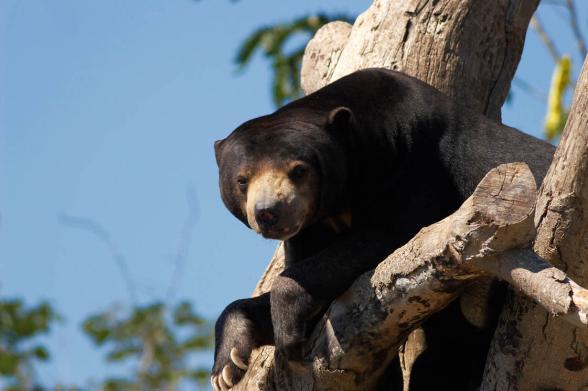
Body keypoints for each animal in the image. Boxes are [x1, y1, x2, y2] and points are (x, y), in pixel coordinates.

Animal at [211, 69, 556, 390]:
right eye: (242, 180)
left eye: (299, 170)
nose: (269, 213)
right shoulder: (310, 229)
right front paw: (227, 366)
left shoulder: (419, 169)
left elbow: (391, 235)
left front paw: (288, 334)